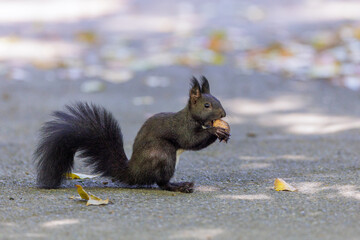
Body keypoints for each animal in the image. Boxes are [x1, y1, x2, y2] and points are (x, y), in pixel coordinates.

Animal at [33, 77, 228, 193]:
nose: (224, 114)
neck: (190, 117)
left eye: (219, 100)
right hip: (162, 154)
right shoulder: (181, 128)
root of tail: (133, 172)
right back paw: (179, 186)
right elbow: (191, 141)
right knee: (161, 182)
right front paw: (215, 131)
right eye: (207, 105)